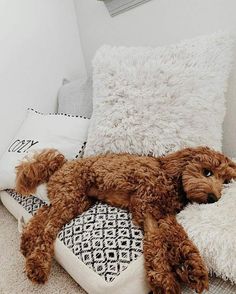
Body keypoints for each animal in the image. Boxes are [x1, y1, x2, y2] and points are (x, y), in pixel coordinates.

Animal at [15, 146, 236, 292]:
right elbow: (156, 241)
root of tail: (63, 164)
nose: (213, 198)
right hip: (70, 196)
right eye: (207, 171)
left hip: (77, 201)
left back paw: (26, 243)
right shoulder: (145, 207)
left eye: (226, 181)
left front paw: (193, 269)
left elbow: (179, 237)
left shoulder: (165, 215)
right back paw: (37, 265)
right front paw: (164, 279)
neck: (171, 178)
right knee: (48, 229)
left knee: (42, 214)